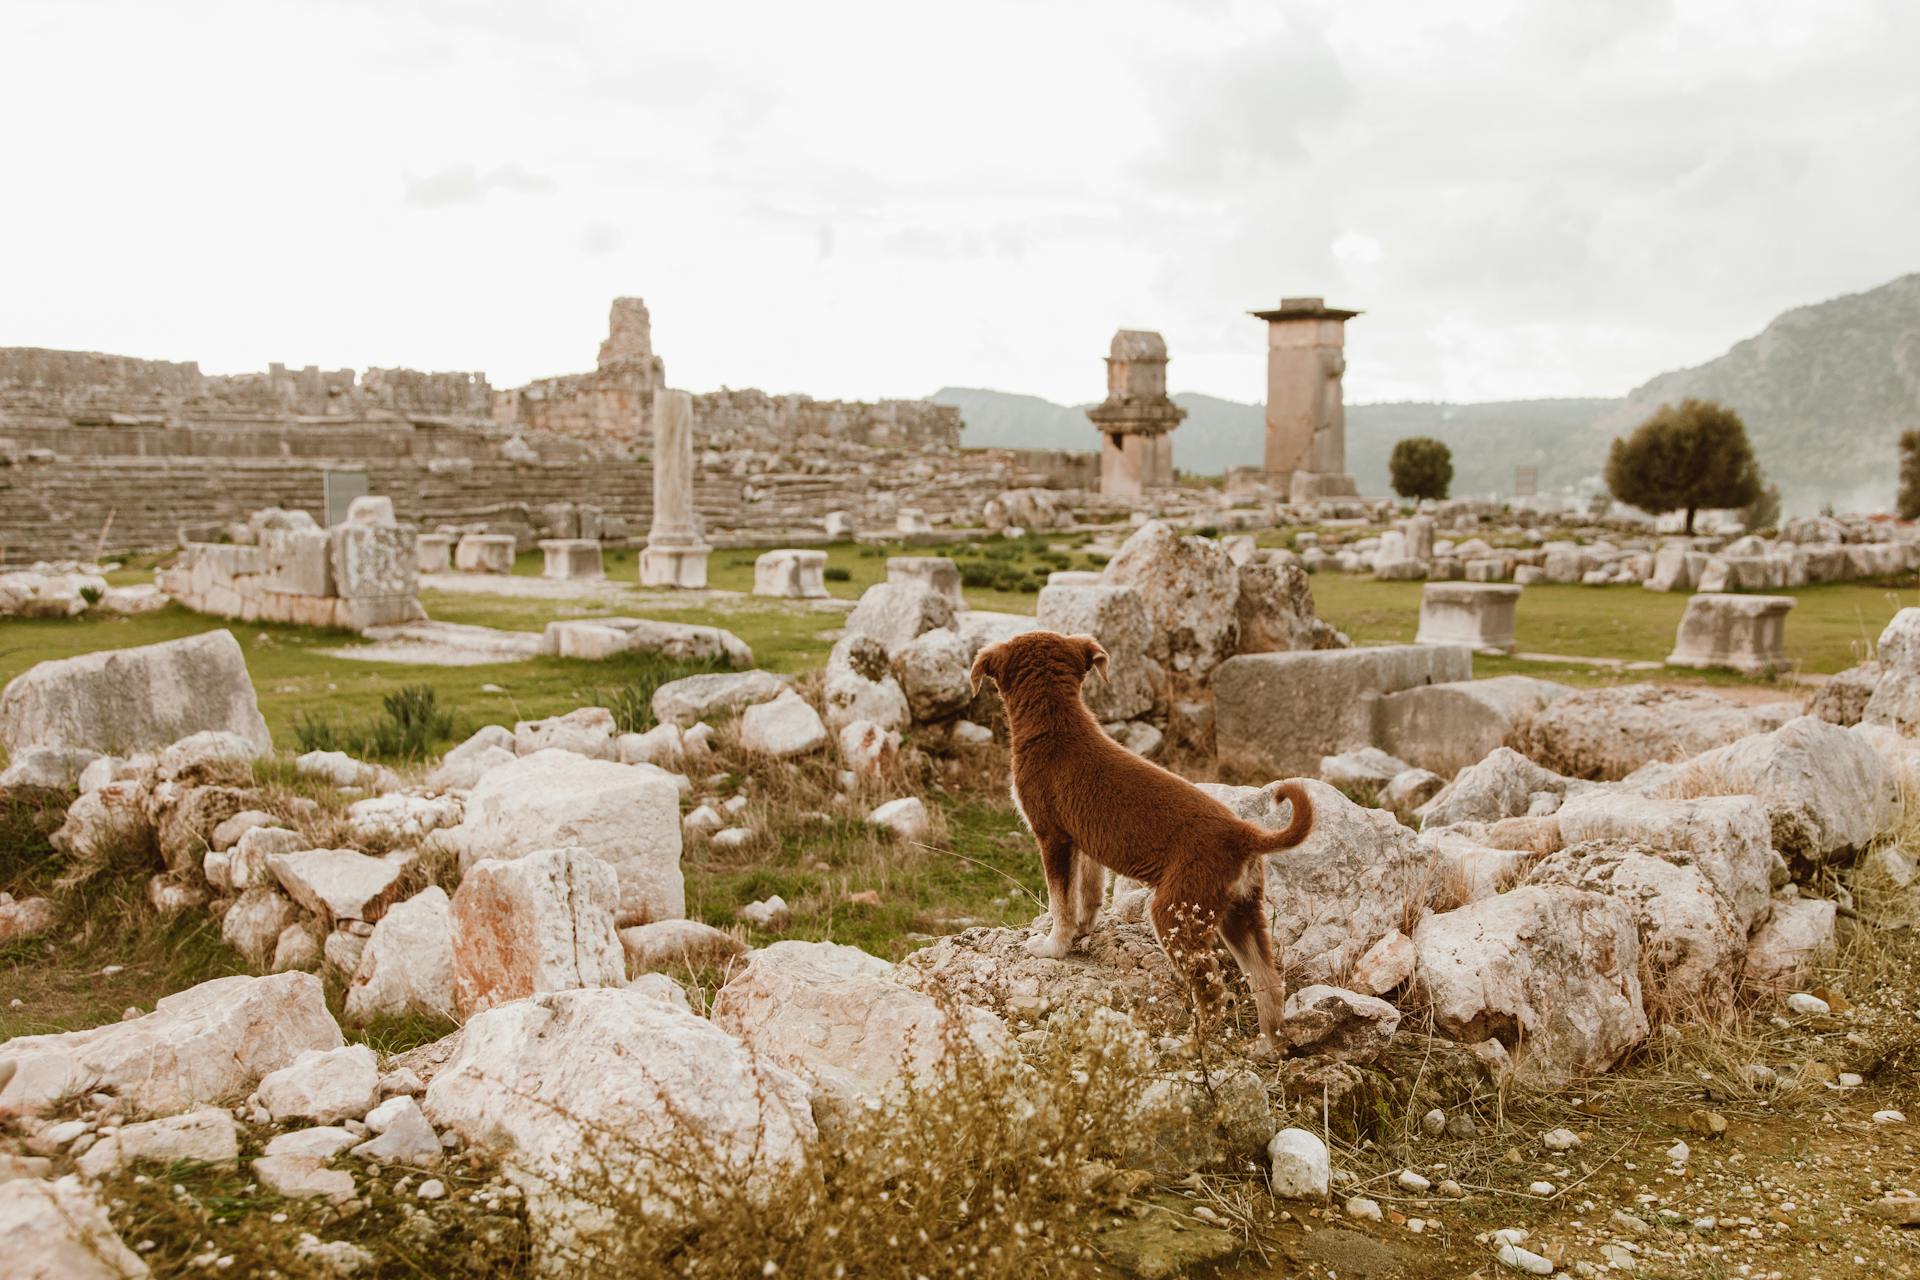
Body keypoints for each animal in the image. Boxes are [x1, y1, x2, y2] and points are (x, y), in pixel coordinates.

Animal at [967, 625, 1313, 1059]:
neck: (1057, 725)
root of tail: (1245, 835)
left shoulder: (1052, 836)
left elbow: (1061, 901)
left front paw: (1053, 946)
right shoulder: (1085, 842)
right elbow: (1089, 893)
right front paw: (1083, 931)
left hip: (1175, 914)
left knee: (1215, 994)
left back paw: (1187, 1046)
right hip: (1240, 913)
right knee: (1268, 982)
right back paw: (1267, 1046)